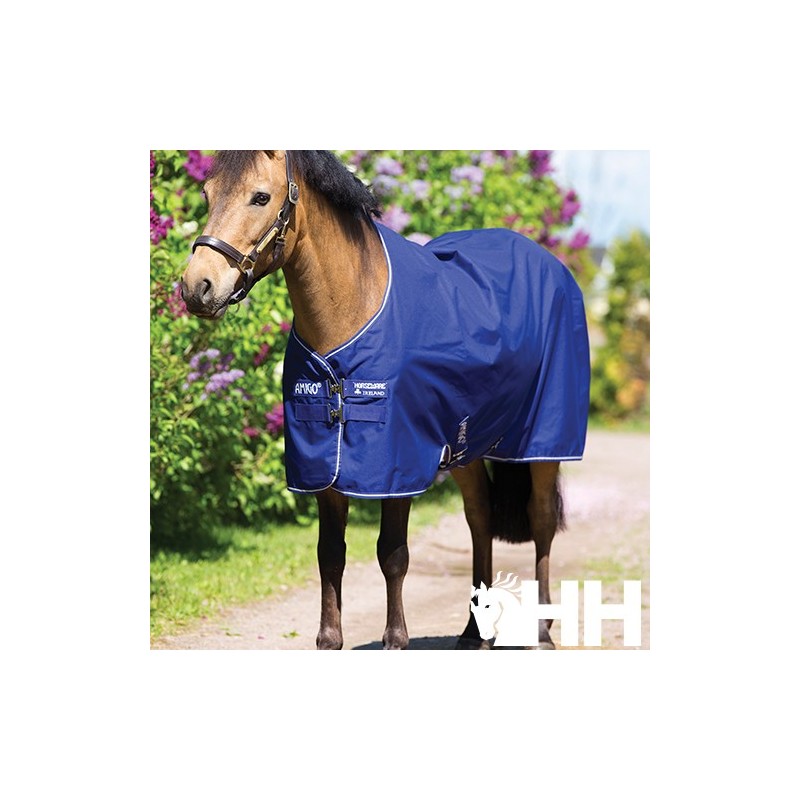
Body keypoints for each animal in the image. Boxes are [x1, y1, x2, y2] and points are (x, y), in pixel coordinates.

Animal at [180, 150, 590, 650]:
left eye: (260, 197)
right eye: (207, 194)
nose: (197, 286)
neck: (353, 310)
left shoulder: (397, 464)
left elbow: (392, 553)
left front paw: (396, 638)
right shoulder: (323, 464)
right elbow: (330, 553)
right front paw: (329, 639)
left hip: (542, 443)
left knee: (542, 520)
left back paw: (542, 631)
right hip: (467, 446)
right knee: (480, 519)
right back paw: (473, 633)